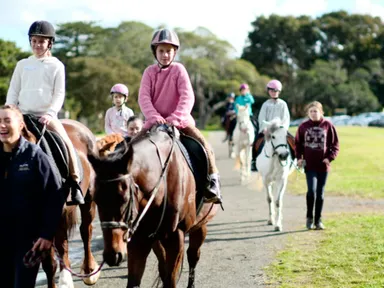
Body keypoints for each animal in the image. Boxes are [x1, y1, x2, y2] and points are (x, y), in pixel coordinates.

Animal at [88, 125, 218, 288]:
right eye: (96, 199)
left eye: (125, 198)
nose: (113, 255)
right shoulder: (139, 238)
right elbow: (136, 281)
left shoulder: (176, 237)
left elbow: (170, 279)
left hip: (200, 225)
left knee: (193, 255)